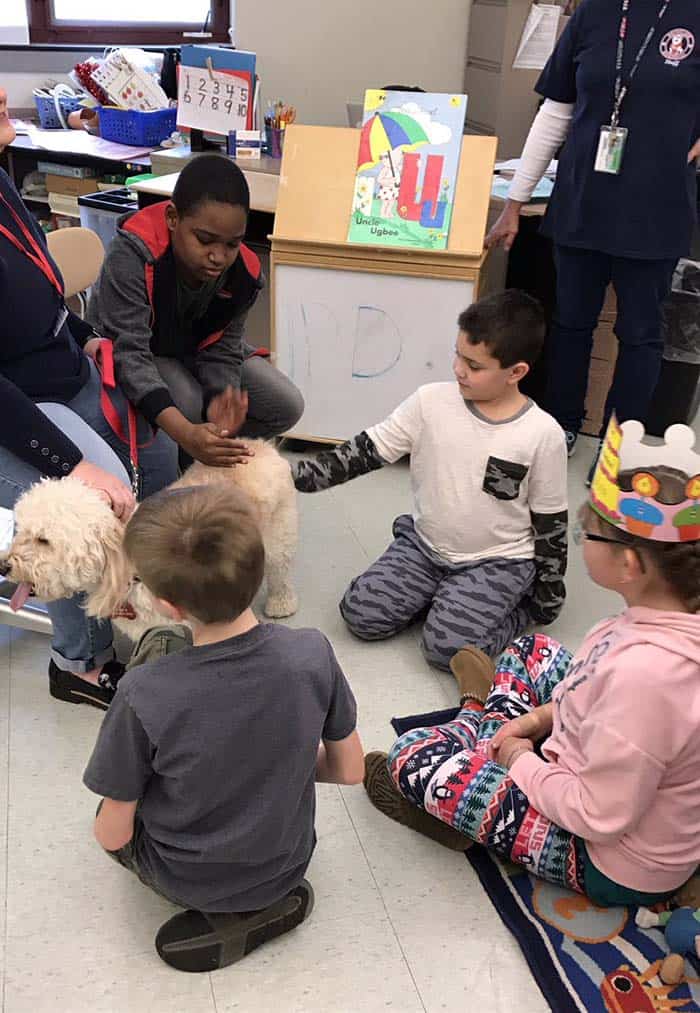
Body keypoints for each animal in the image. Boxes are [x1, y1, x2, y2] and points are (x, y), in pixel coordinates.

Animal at [0, 437, 297, 640]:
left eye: (44, 540)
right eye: (20, 529)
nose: (4, 566)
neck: (129, 572)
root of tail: (259, 445)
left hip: (278, 536)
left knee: (281, 571)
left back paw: (280, 603)